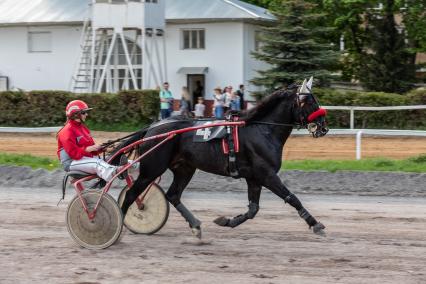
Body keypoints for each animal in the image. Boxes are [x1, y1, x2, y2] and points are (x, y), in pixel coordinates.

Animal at [112, 82, 326, 237]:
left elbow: (253, 209)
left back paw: (195, 225)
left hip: (184, 168)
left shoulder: (254, 178)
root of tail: (152, 128)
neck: (261, 129)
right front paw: (315, 223)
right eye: (309, 101)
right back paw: (118, 223)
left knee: (173, 195)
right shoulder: (267, 175)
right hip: (152, 169)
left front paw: (226, 221)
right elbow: (292, 198)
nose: (323, 127)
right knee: (131, 195)